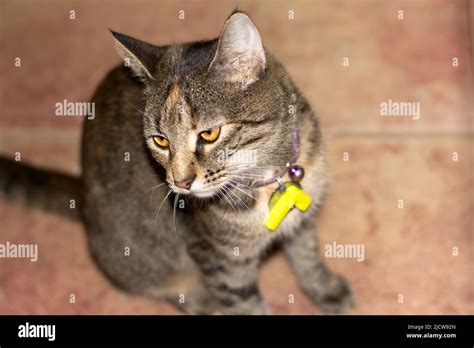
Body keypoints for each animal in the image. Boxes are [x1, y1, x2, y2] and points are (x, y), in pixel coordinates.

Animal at [0, 11, 352, 316]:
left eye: (209, 134)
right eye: (161, 141)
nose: (180, 182)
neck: (269, 177)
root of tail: (82, 194)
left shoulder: (303, 221)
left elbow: (306, 255)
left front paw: (326, 289)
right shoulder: (218, 257)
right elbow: (244, 303)